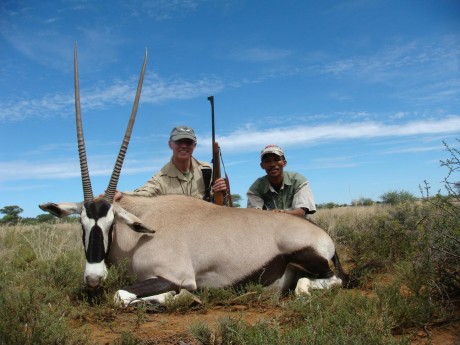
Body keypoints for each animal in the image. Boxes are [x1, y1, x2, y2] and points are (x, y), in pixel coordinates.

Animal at [39, 47, 348, 306]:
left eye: (110, 223)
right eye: (82, 224)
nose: (93, 278)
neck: (139, 231)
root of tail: (322, 235)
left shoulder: (176, 275)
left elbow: (122, 294)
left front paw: (183, 298)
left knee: (321, 283)